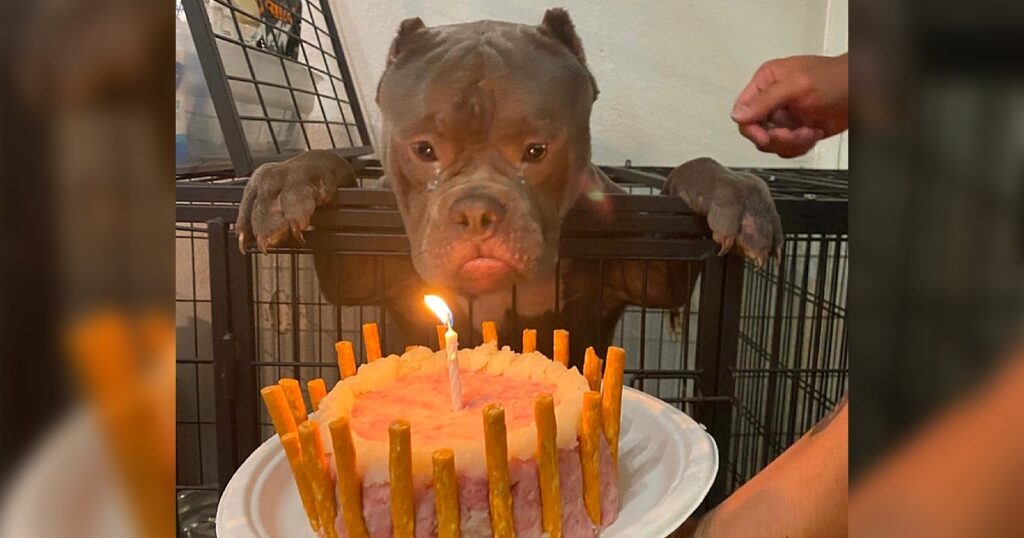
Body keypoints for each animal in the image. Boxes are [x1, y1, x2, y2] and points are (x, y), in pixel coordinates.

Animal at [235, 8, 778, 366]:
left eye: (536, 151)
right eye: (424, 150)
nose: (476, 211)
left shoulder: (650, 269)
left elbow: (689, 173)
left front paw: (732, 190)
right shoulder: (358, 267)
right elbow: (338, 169)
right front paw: (287, 180)